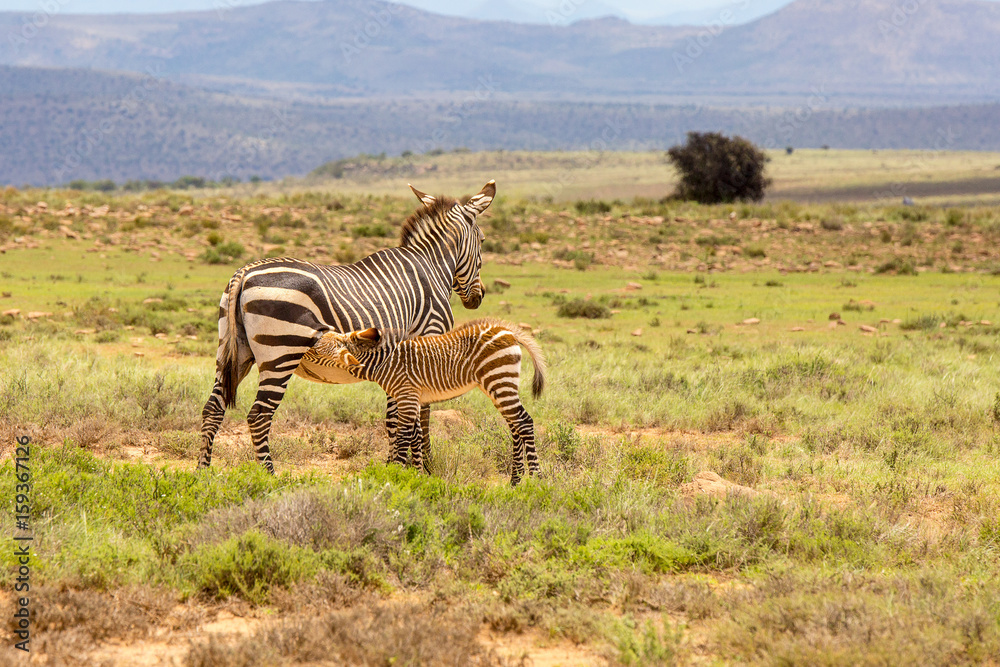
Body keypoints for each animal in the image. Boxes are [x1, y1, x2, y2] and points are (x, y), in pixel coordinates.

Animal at [196, 181, 496, 474]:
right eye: (482, 240)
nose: (479, 297)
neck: (431, 266)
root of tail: (245, 273)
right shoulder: (428, 341)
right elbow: (420, 416)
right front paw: (422, 469)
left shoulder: (400, 361)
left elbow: (395, 419)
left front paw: (395, 467)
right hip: (281, 352)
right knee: (259, 416)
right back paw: (268, 475)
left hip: (234, 351)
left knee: (213, 408)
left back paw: (203, 472)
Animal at [304, 318, 546, 486]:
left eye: (315, 350)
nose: (298, 349)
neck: (383, 362)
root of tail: (508, 331)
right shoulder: (410, 398)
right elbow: (415, 435)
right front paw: (416, 474)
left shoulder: (407, 395)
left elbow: (403, 436)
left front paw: (395, 475)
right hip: (498, 386)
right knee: (515, 426)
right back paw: (515, 480)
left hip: (500, 380)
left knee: (524, 422)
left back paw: (536, 479)